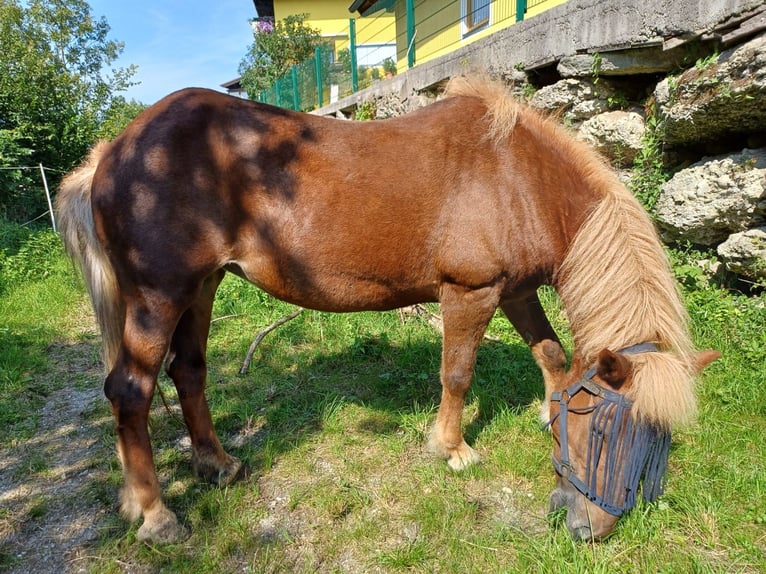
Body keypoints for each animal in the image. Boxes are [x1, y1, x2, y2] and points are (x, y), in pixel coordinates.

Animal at [58, 75, 720, 544]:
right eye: (604, 429)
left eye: (658, 440)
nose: (589, 528)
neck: (520, 178)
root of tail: (113, 151)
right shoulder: (470, 292)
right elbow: (457, 375)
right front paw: (452, 450)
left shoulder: (515, 291)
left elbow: (552, 355)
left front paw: (543, 412)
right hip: (159, 296)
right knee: (132, 392)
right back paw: (156, 516)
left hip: (202, 287)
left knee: (188, 372)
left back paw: (218, 465)